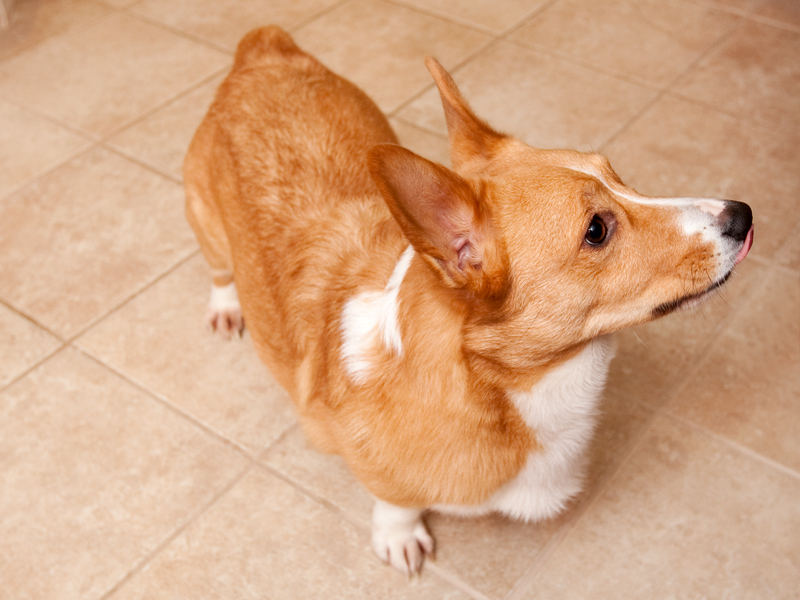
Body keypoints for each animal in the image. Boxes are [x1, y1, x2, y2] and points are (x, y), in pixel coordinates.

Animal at [184, 25, 752, 576]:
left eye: (617, 174)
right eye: (596, 230)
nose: (744, 215)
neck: (509, 385)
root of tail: (265, 51)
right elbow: (394, 501)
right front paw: (399, 537)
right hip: (207, 227)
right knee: (219, 270)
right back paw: (226, 306)